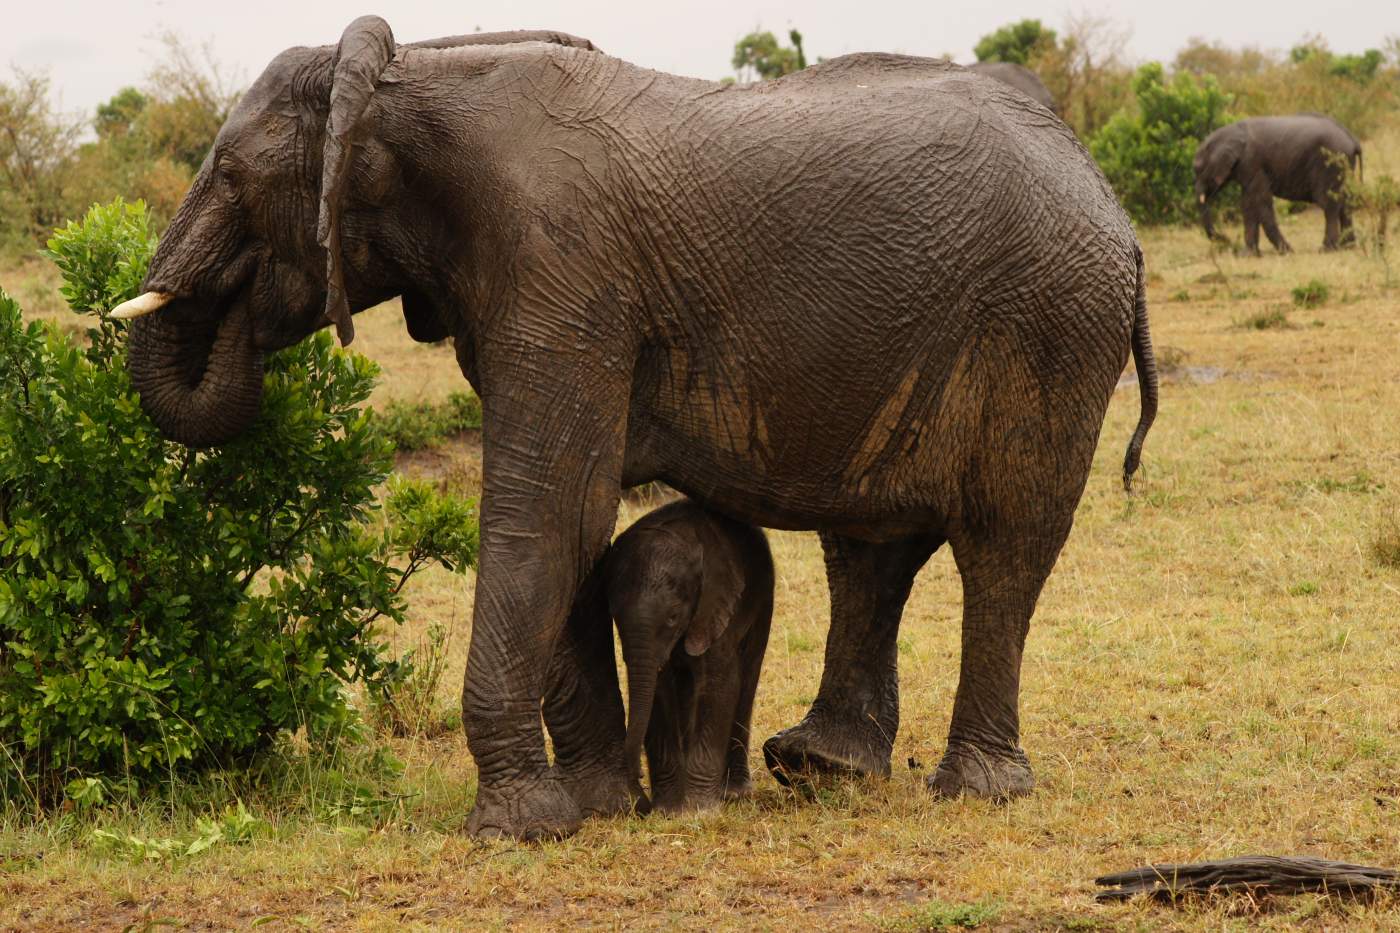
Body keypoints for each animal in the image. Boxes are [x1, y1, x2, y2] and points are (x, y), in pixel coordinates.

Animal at [602, 498, 778, 812]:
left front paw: (700, 809)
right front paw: (669, 809)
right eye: (615, 617)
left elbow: (718, 686)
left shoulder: (715, 606)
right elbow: (659, 693)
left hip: (763, 593)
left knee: (747, 678)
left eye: (673, 618)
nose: (637, 781)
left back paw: (735, 793)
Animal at [1198, 114, 1360, 256]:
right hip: (1343, 166)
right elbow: (1247, 204)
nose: (1226, 240)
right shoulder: (1246, 167)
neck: (1228, 133)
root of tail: (1353, 140)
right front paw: (1249, 255)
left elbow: (1260, 201)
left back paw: (1327, 250)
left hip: (1332, 163)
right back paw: (1348, 246)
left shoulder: (1252, 162)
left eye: (1198, 169)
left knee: (1329, 204)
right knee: (1345, 203)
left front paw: (1287, 252)